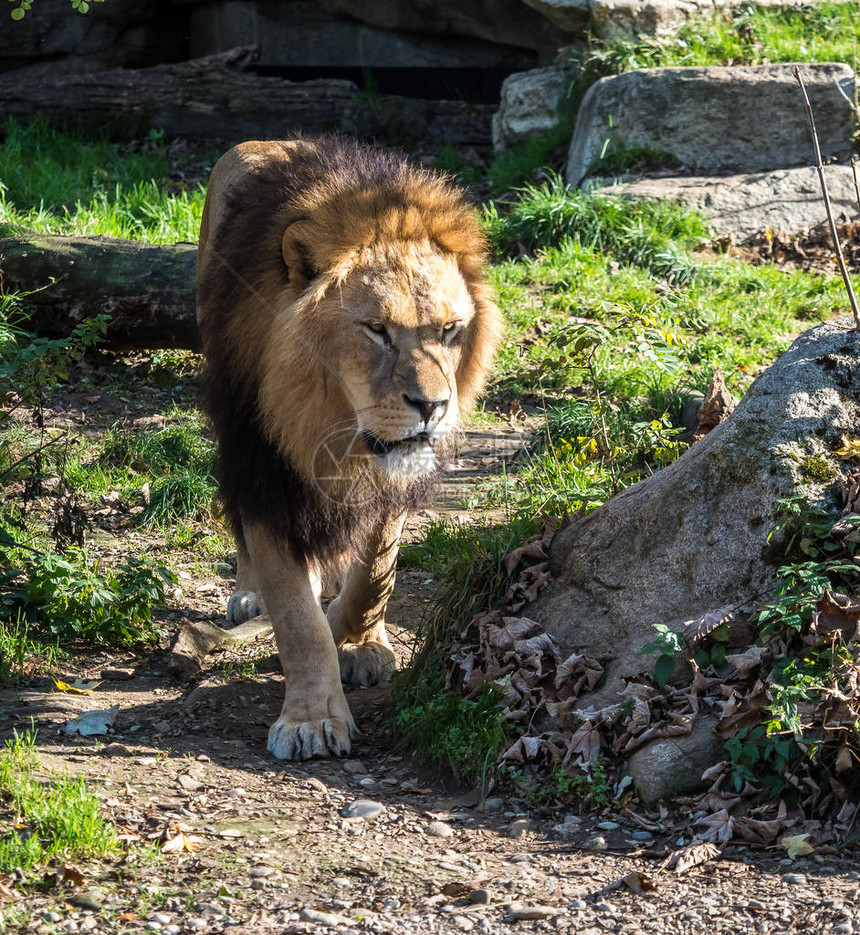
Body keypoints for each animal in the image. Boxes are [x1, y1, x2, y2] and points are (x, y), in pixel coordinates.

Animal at [195, 137, 504, 760]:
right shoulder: (264, 470)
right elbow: (297, 617)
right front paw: (312, 718)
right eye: (377, 330)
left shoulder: (391, 476)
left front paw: (357, 640)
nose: (432, 406)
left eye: (450, 330)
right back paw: (250, 594)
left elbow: (375, 571)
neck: (328, 423)